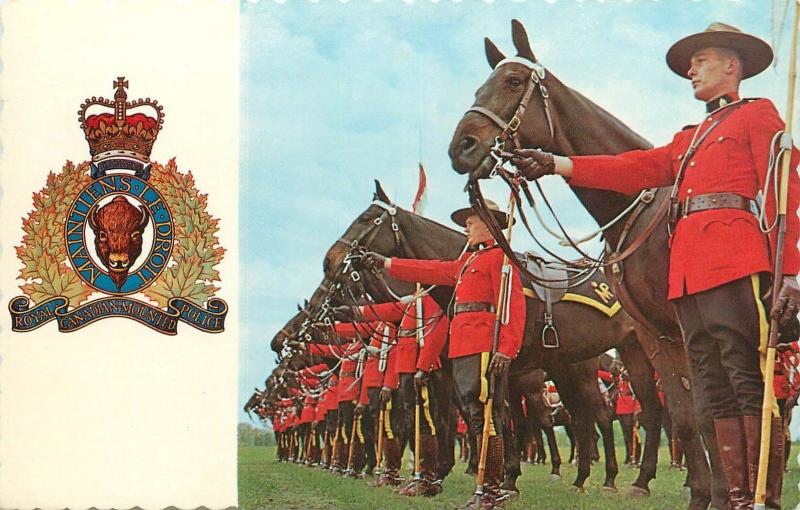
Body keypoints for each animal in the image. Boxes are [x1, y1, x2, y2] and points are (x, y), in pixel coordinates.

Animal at [446, 18, 720, 510]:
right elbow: (688, 418)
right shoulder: (657, 336)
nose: (462, 146)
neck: (637, 206)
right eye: (479, 88)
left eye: (512, 81)